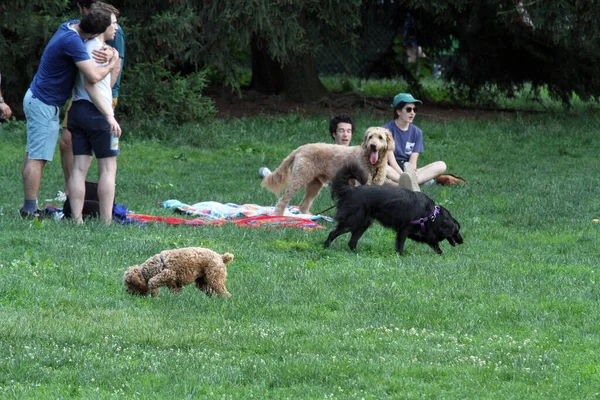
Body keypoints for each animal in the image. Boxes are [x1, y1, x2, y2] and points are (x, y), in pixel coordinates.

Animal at [262, 127, 394, 216]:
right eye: (370, 137)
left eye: (380, 137)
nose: (373, 146)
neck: (372, 164)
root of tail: (301, 147)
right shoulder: (361, 184)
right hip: (299, 178)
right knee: (283, 200)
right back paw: (279, 215)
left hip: (315, 184)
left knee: (304, 204)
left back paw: (307, 217)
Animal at [324, 161, 464, 255]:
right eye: (456, 231)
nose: (462, 241)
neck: (431, 214)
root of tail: (349, 190)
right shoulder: (403, 229)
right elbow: (400, 245)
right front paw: (399, 256)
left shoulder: (423, 234)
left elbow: (434, 244)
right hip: (352, 221)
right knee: (333, 233)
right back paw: (325, 247)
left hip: (363, 223)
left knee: (352, 242)